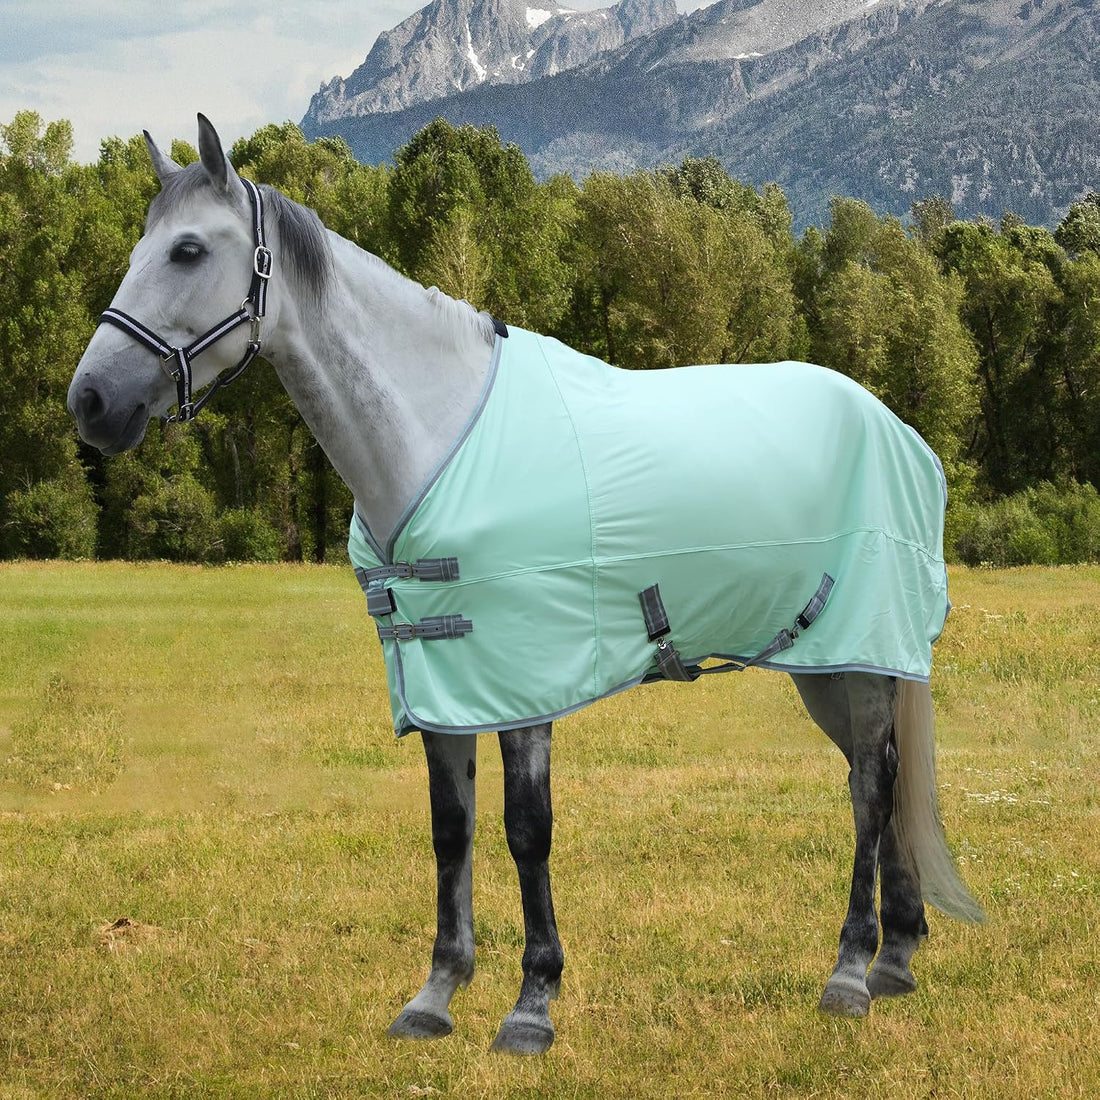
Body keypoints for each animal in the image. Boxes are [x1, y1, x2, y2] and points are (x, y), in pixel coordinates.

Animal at [67, 115, 981, 1056]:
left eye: (186, 250)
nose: (91, 401)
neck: (436, 434)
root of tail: (900, 431)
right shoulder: (444, 680)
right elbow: (452, 829)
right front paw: (436, 994)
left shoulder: (523, 678)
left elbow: (525, 830)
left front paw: (532, 1003)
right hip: (828, 665)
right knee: (879, 775)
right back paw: (897, 956)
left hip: (862, 655)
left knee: (871, 790)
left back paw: (850, 972)